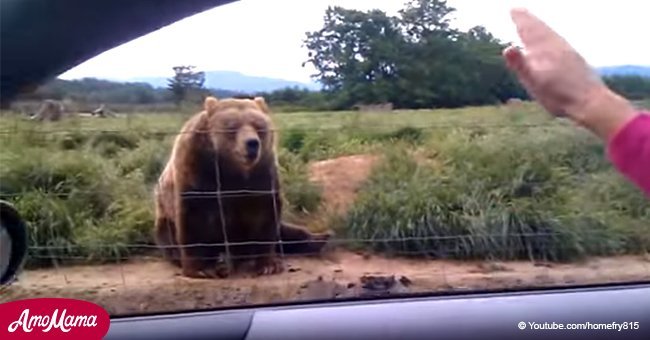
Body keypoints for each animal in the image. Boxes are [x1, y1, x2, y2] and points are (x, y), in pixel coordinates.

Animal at [153, 95, 330, 278]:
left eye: (258, 126)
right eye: (232, 127)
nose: (252, 143)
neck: (232, 169)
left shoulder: (261, 174)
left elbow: (264, 215)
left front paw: (268, 265)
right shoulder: (197, 170)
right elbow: (195, 219)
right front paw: (200, 269)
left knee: (286, 231)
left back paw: (321, 238)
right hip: (164, 220)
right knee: (169, 238)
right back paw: (219, 261)